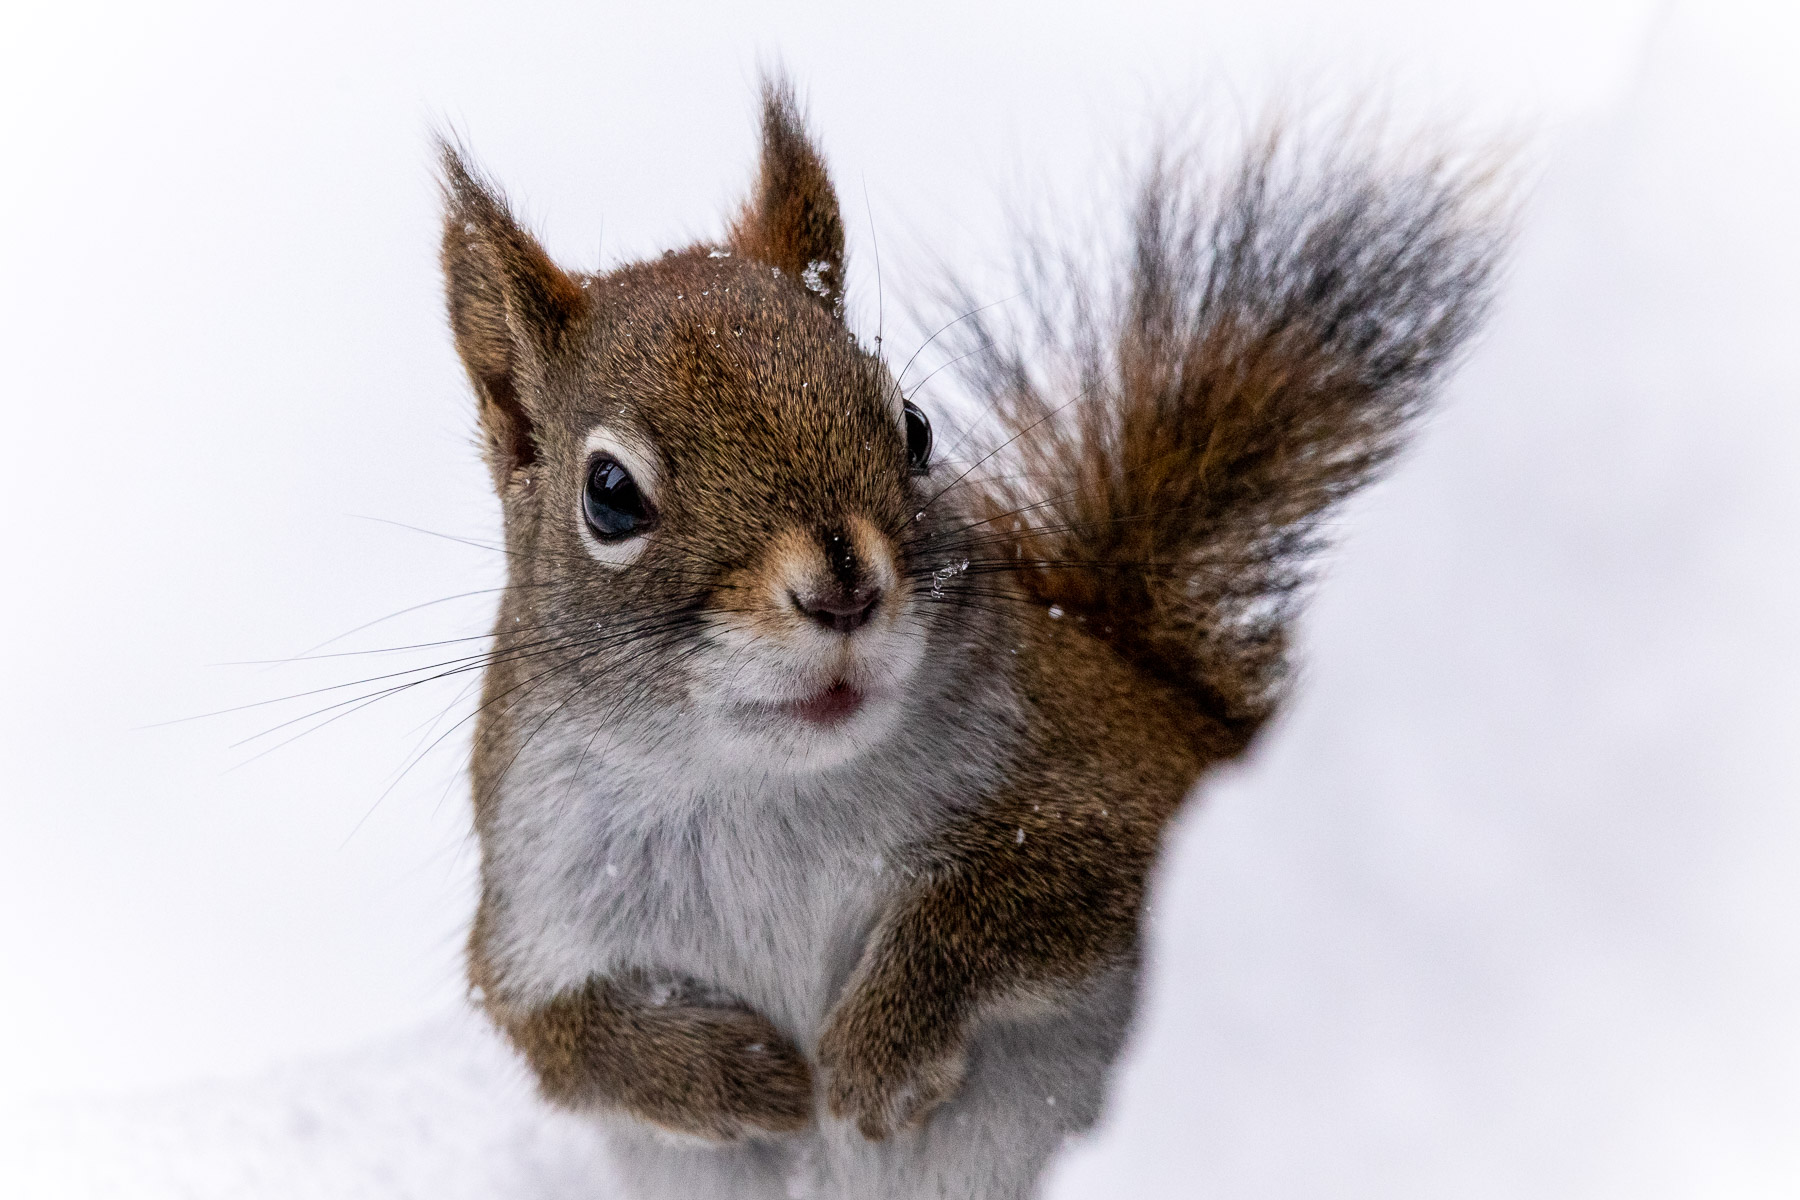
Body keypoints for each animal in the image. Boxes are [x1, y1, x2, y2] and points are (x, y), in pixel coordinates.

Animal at [438, 74, 1507, 1200]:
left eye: (912, 427)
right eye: (608, 495)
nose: (844, 588)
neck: (768, 787)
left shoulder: (1118, 792)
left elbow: (1016, 900)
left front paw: (874, 1057)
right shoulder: (534, 906)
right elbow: (559, 1034)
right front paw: (740, 1077)